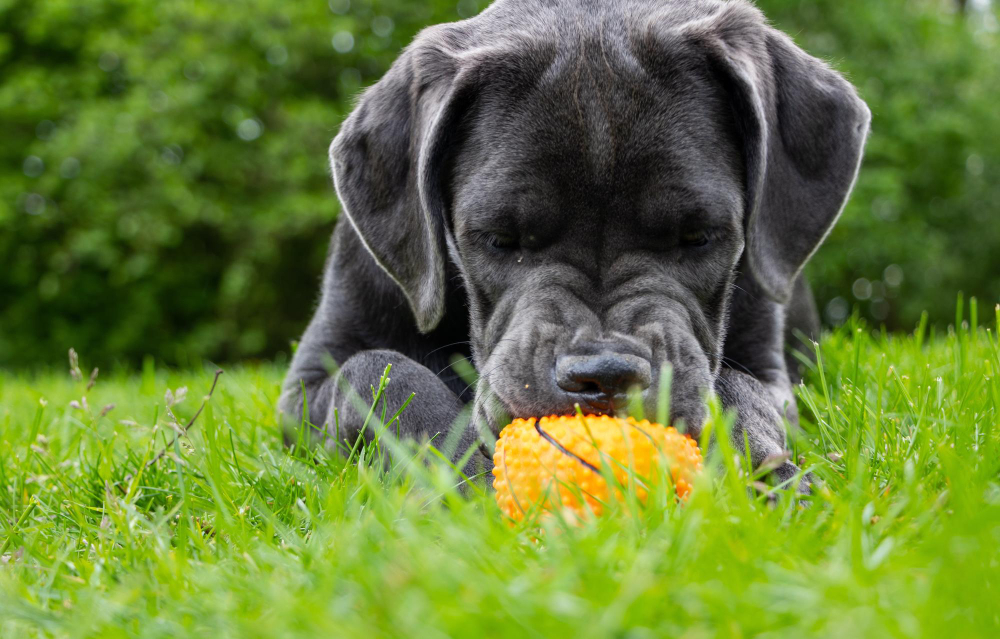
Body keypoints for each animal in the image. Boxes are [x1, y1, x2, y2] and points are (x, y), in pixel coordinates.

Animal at [280, 0, 868, 488]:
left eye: (699, 236)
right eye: (500, 239)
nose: (605, 376)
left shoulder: (770, 369)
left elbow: (744, 388)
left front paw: (755, 460)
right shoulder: (306, 384)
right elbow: (377, 373)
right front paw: (459, 469)